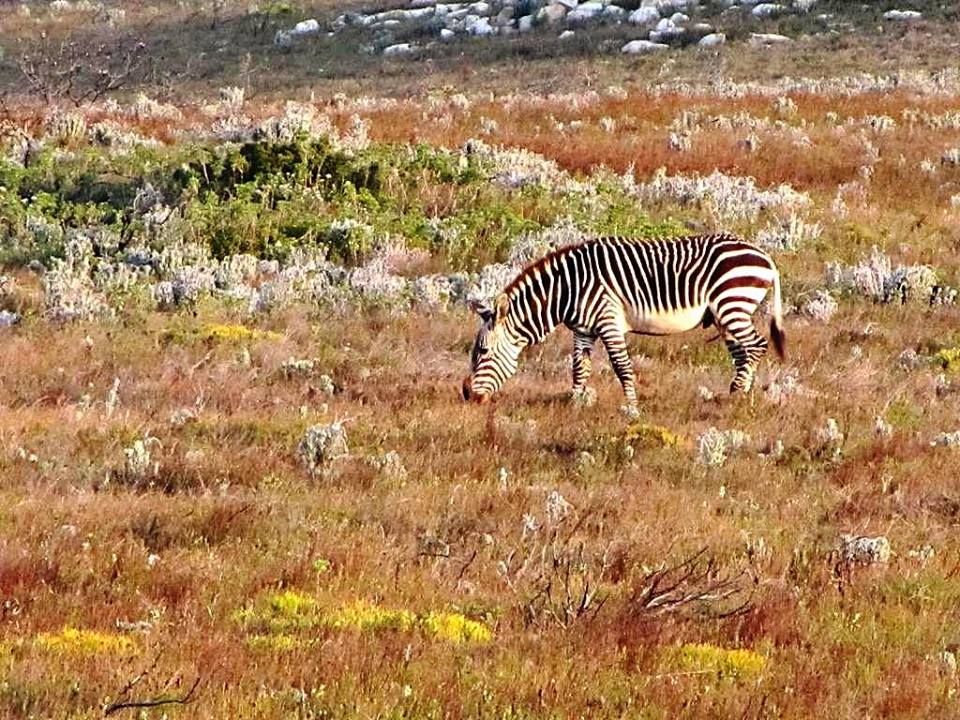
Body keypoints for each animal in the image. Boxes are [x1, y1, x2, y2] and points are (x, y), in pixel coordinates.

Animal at [461, 234, 785, 408]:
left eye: (483, 351)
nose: (467, 395)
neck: (568, 288)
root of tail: (765, 256)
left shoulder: (608, 321)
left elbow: (622, 367)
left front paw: (631, 408)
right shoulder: (584, 329)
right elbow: (579, 368)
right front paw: (575, 403)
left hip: (732, 303)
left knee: (756, 345)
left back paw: (738, 393)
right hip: (726, 314)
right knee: (742, 352)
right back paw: (738, 395)